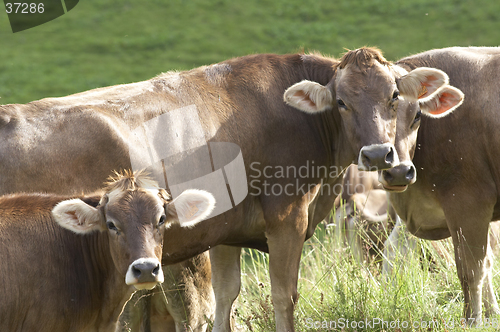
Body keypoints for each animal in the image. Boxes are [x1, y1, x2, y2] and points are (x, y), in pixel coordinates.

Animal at [378, 46, 500, 322]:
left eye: (417, 116)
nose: (398, 172)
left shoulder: (469, 203)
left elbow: (472, 269)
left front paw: (474, 320)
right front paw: (492, 315)